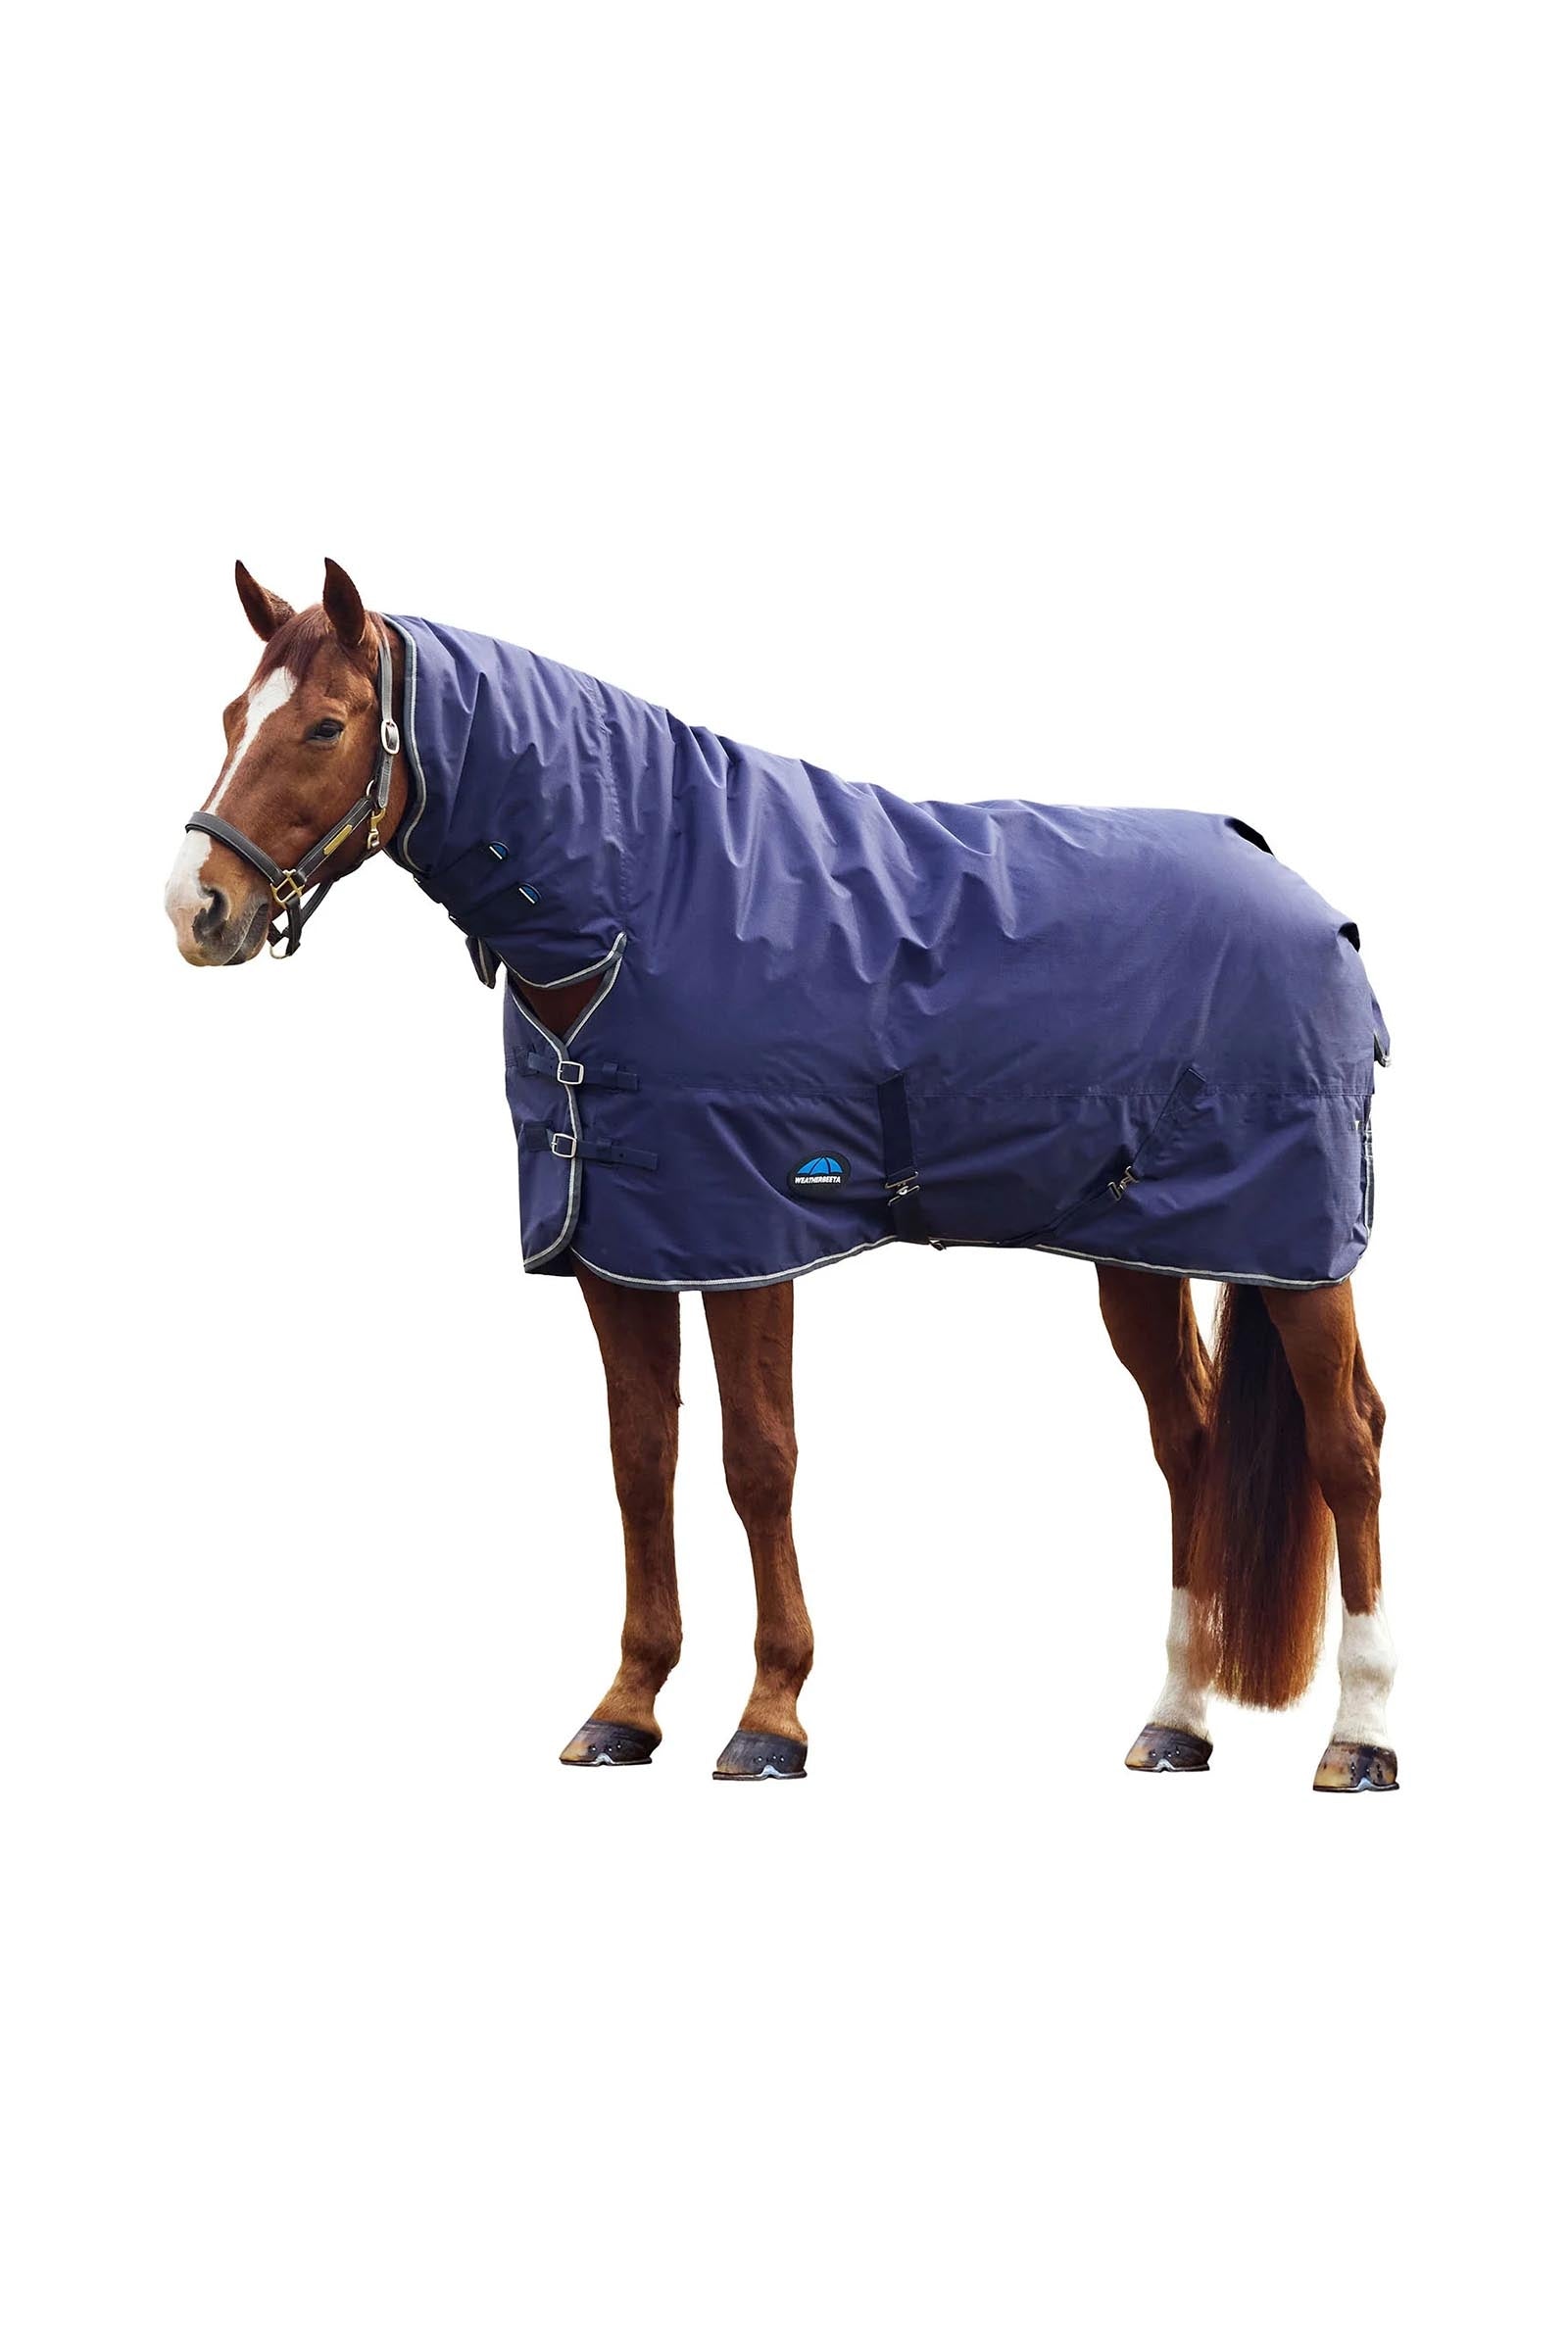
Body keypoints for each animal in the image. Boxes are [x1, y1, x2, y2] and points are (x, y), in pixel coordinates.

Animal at [164, 559, 1397, 1791]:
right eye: (229, 718)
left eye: (326, 726)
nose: (197, 909)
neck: (646, 904)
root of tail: (1305, 899)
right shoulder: (618, 1249)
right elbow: (641, 1460)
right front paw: (626, 1708)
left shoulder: (747, 1240)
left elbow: (757, 1461)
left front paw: (769, 1719)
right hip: (1139, 1249)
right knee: (1187, 1441)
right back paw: (1175, 1723)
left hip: (1300, 1253)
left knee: (1348, 1443)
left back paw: (1362, 1736)